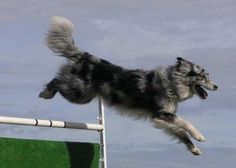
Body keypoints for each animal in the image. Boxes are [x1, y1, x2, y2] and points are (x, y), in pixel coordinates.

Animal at [38, 16, 218, 156]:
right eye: (203, 77)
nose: (217, 86)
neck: (172, 83)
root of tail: (86, 56)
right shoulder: (160, 113)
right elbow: (186, 123)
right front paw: (199, 136)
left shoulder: (160, 118)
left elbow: (180, 132)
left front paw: (194, 149)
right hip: (78, 92)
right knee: (56, 81)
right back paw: (45, 94)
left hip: (85, 95)